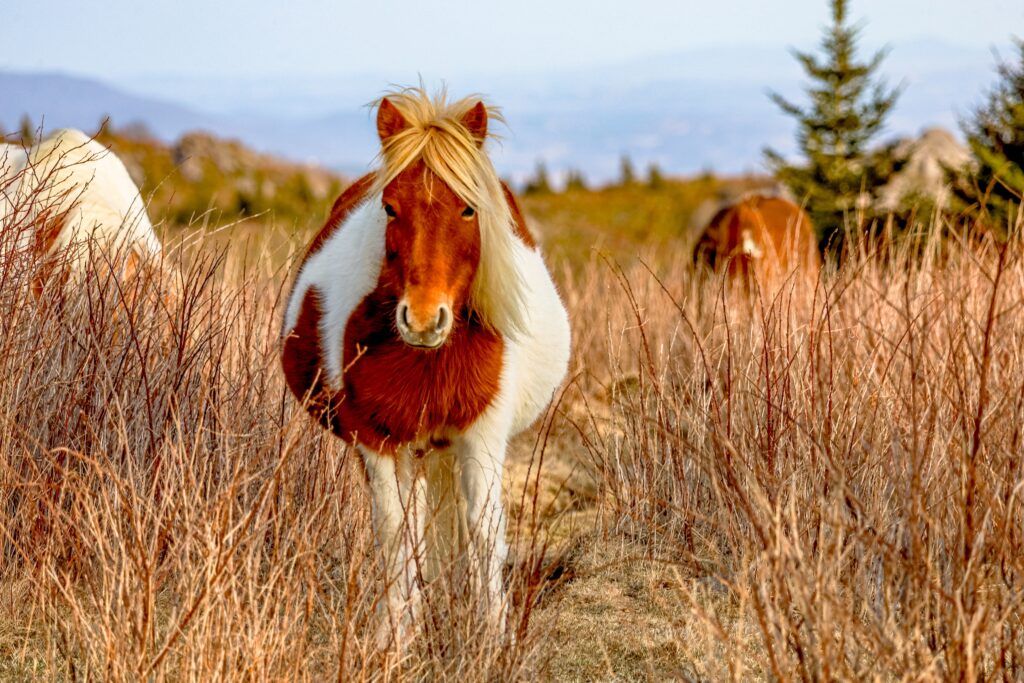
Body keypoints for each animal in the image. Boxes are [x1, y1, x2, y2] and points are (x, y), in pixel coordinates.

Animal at [280, 87, 571, 640]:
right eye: (390, 208)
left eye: (468, 209)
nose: (421, 319)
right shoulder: (375, 442)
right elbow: (396, 531)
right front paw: (392, 636)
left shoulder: (482, 435)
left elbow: (484, 530)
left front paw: (491, 637)